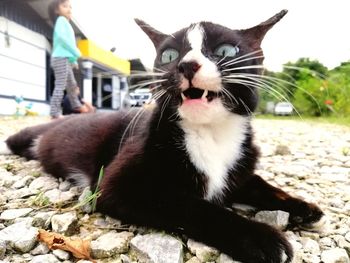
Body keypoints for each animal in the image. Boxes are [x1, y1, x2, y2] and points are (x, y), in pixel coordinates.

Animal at [0, 9, 326, 262]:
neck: (209, 133)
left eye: (225, 51)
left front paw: (302, 207)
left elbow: (259, 184)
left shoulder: (240, 162)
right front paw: (261, 238)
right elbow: (192, 205)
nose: (186, 64)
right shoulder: (119, 184)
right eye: (169, 55)